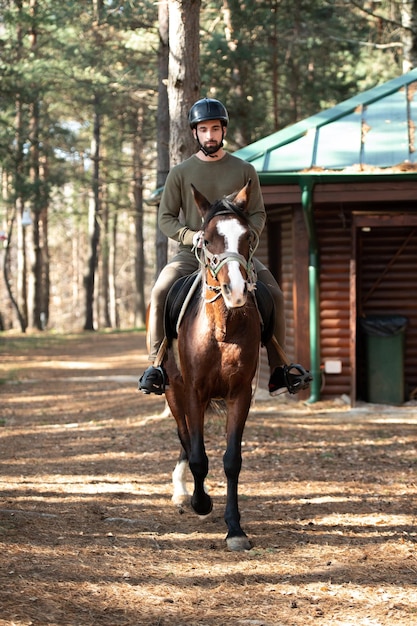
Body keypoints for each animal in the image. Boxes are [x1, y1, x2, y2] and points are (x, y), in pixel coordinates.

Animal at [162, 179, 260, 544]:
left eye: (247, 237)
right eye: (207, 237)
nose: (236, 290)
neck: (221, 328)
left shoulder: (240, 394)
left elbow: (232, 460)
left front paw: (235, 528)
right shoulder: (192, 391)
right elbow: (198, 455)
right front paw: (201, 502)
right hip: (173, 391)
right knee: (185, 437)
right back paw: (182, 492)